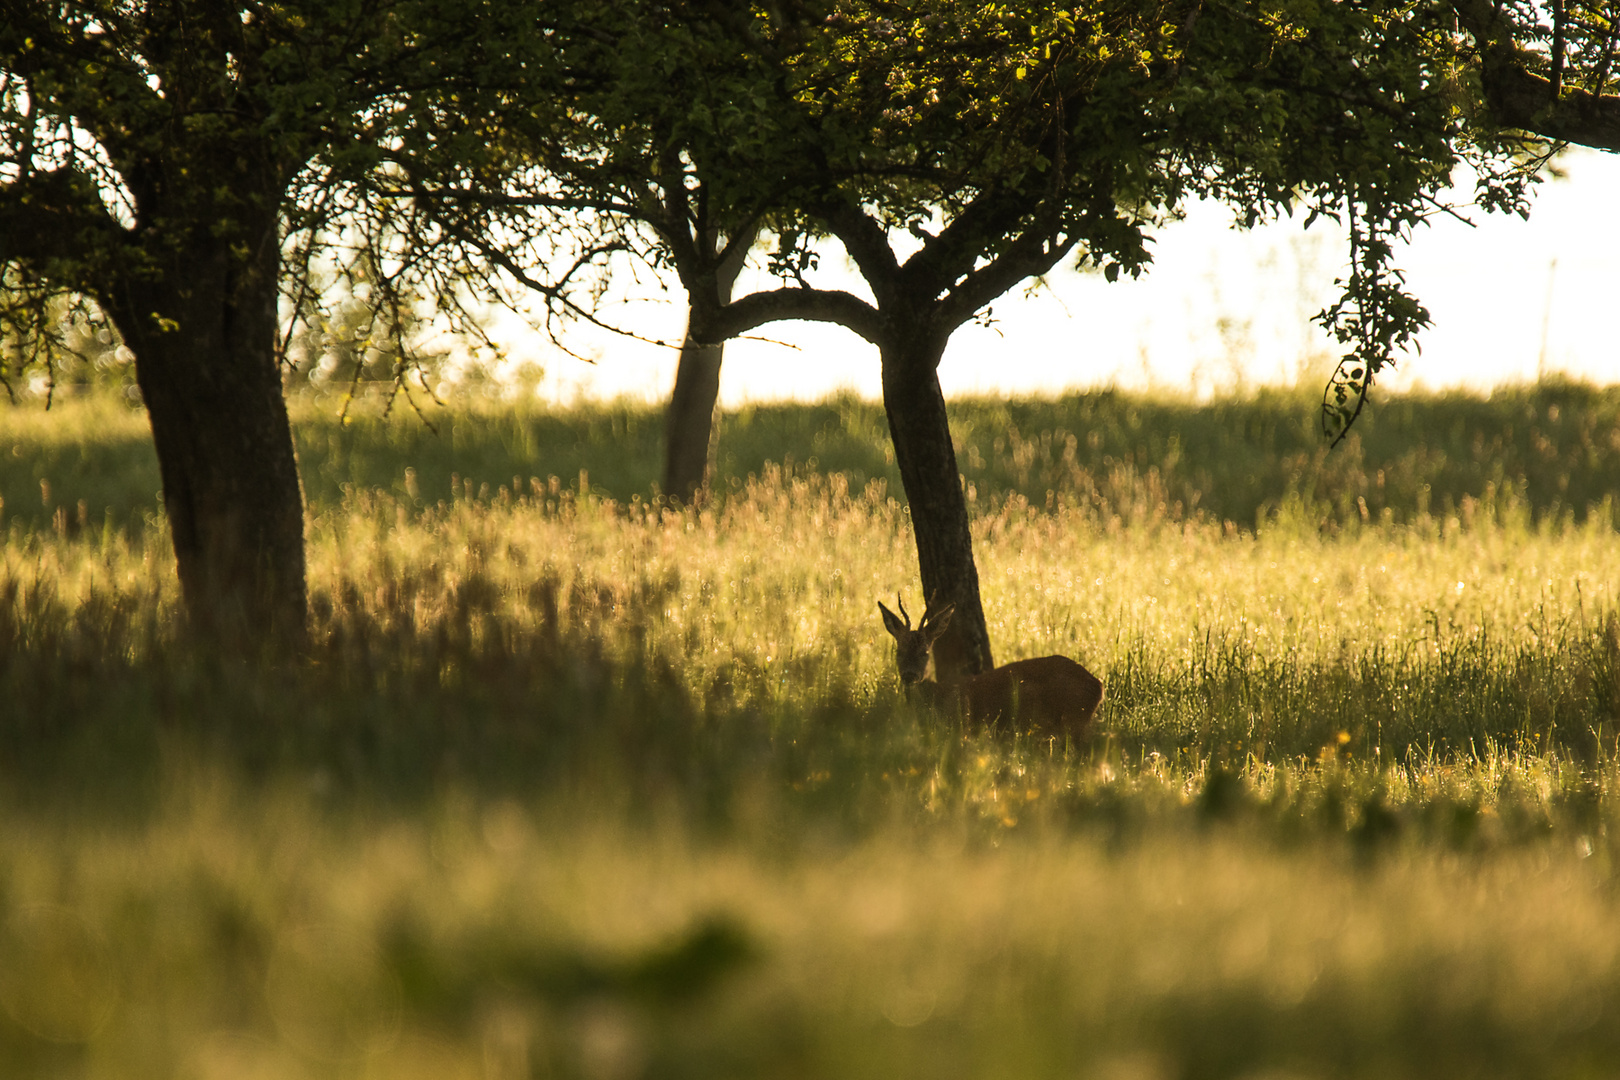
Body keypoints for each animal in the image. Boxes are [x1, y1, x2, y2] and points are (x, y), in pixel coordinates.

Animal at [881, 595, 1108, 738]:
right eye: (898, 651)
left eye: (925, 653)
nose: (909, 675)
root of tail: (1098, 685)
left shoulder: (963, 728)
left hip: (1074, 720)